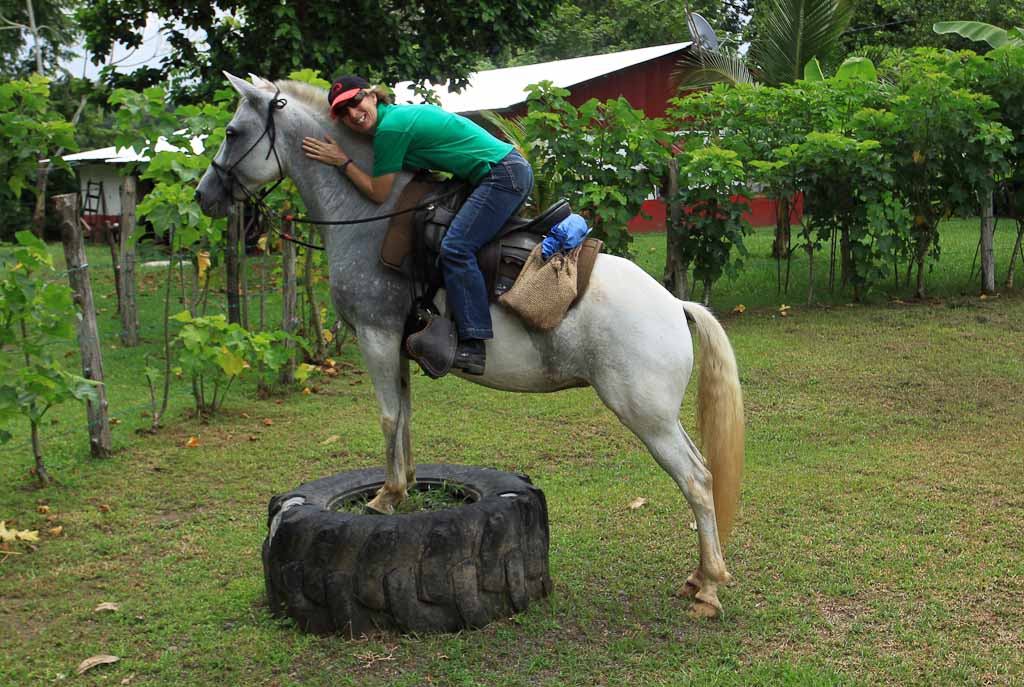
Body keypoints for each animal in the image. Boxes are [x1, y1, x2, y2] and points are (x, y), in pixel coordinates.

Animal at [195, 75, 749, 618]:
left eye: (231, 132)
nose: (204, 196)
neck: (371, 216)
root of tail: (675, 304)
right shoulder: (398, 345)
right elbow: (406, 414)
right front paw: (406, 486)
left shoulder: (376, 335)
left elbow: (388, 418)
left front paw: (384, 498)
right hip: (659, 415)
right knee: (702, 474)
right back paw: (700, 576)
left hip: (644, 413)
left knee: (697, 480)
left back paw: (709, 586)